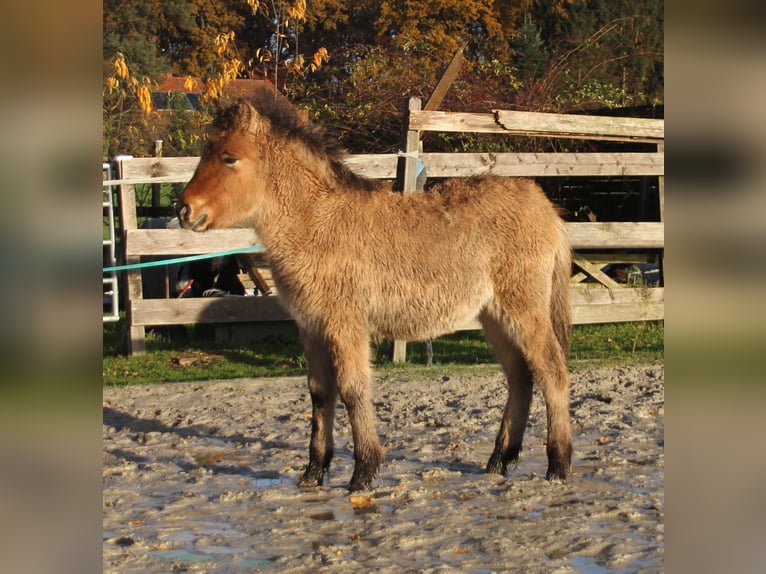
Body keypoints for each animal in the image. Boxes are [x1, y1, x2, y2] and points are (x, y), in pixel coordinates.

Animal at [177, 89, 572, 490]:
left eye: (229, 157)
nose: (183, 210)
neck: (317, 223)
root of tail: (546, 208)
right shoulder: (310, 327)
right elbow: (319, 393)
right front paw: (314, 472)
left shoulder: (345, 324)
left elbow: (353, 388)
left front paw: (363, 471)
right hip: (493, 316)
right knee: (521, 377)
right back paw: (499, 460)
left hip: (524, 309)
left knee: (552, 371)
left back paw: (558, 464)